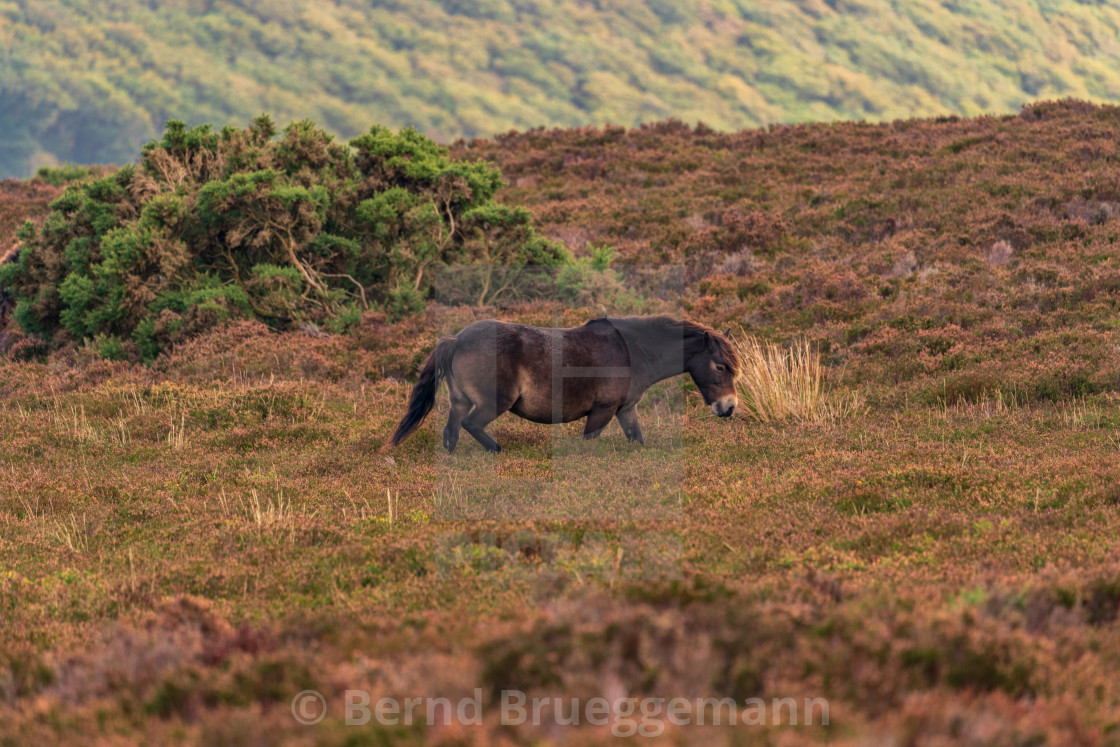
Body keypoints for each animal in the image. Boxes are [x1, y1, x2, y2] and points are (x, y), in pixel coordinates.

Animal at [389, 313, 739, 452]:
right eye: (720, 367)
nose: (729, 408)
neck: (632, 350)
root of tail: (458, 339)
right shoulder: (602, 411)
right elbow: (589, 441)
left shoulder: (625, 410)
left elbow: (637, 439)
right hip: (492, 403)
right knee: (471, 425)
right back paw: (497, 451)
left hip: (460, 401)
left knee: (451, 432)